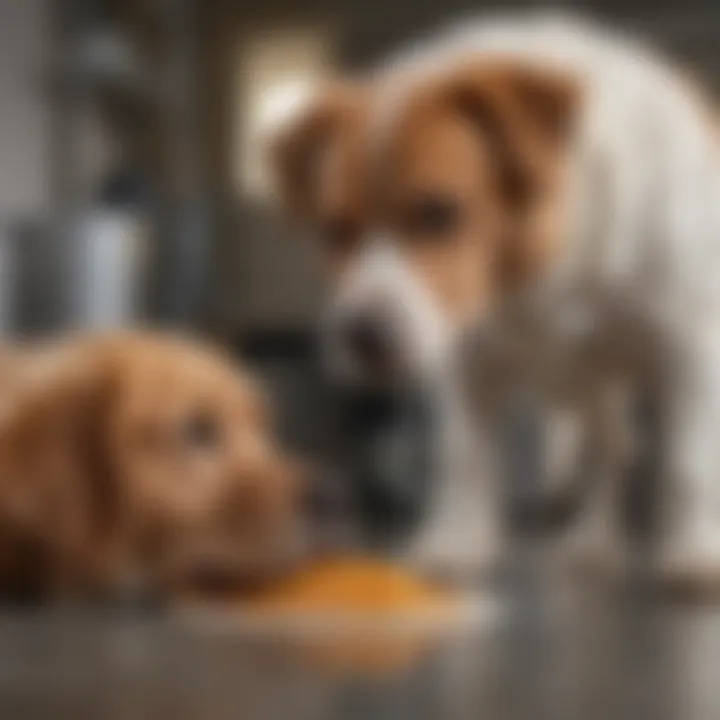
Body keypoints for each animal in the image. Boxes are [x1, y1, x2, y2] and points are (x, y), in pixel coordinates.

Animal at [270, 14, 720, 592]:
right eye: (334, 230)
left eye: (438, 211)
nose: (363, 338)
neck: (540, 279)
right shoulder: (467, 362)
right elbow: (463, 456)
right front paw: (456, 543)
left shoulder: (690, 345)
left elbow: (688, 461)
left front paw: (695, 549)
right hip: (593, 395)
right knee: (611, 453)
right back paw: (596, 543)